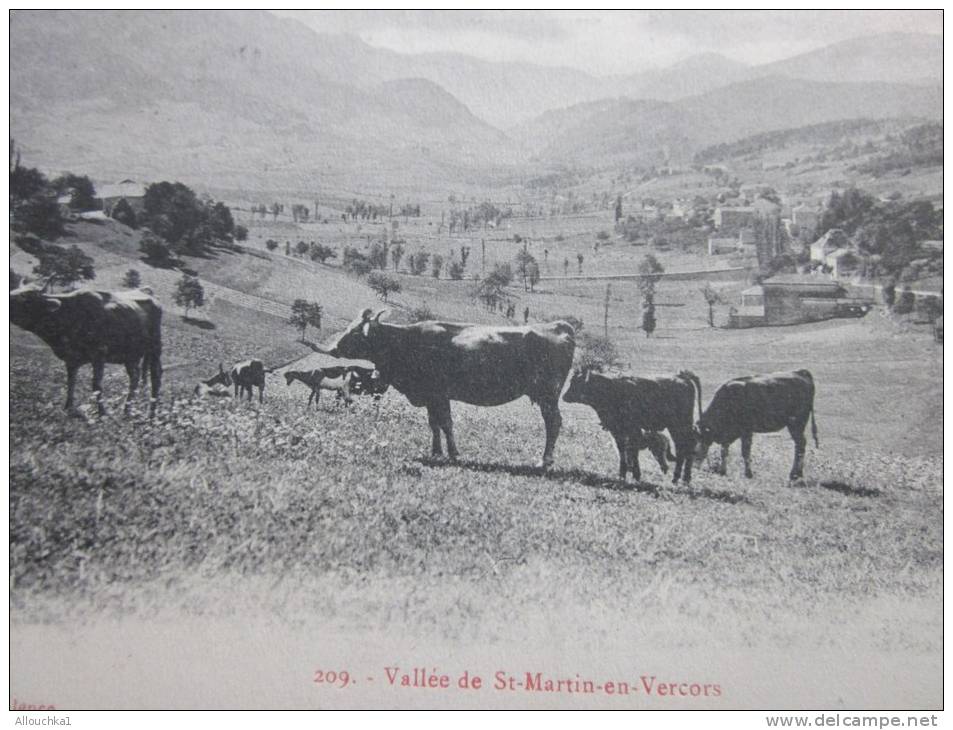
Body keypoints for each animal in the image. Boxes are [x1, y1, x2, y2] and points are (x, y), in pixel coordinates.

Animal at [11, 286, 163, 416]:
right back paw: (127, 409)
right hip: (131, 355)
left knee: (155, 376)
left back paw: (151, 412)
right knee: (135, 377)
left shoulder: (99, 355)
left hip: (155, 348)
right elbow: (71, 382)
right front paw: (68, 407)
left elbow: (96, 385)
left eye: (24, 297)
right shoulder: (71, 359)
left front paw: (102, 412)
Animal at [318, 308, 572, 466]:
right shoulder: (433, 396)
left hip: (548, 395)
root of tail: (558, 326)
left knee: (553, 423)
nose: (333, 348)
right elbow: (435, 424)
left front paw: (453, 454)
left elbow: (446, 423)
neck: (406, 341)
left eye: (354, 332)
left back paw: (544, 461)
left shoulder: (438, 393)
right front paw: (436, 452)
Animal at [556, 366, 700, 480]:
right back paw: (680, 478)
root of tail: (681, 377)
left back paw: (682, 477)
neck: (612, 391)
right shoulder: (616, 431)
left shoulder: (632, 429)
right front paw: (622, 474)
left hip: (680, 424)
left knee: (686, 446)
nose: (564, 396)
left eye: (577, 382)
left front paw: (636, 474)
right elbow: (622, 451)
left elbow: (632, 451)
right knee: (683, 446)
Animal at [692, 366, 820, 480]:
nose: (694, 468)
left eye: (693, 451)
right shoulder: (728, 434)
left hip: (796, 423)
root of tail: (800, 372)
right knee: (800, 445)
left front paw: (748, 474)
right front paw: (722, 471)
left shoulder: (746, 430)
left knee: (800, 445)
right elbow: (724, 451)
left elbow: (745, 452)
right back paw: (798, 473)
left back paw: (795, 474)